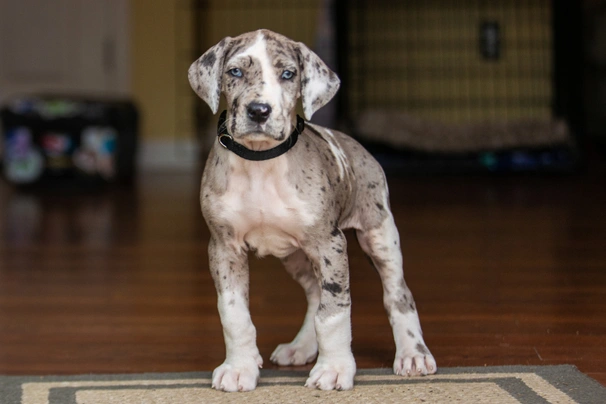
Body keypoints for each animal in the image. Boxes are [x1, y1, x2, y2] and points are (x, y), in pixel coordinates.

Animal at [190, 28, 436, 392]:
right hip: (296, 255)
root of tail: (355, 144)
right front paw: (239, 368)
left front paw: (333, 369)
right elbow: (234, 315)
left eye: (288, 74)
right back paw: (301, 347)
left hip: (380, 235)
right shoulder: (223, 247)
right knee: (313, 293)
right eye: (234, 72)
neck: (260, 161)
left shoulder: (329, 245)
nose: (259, 111)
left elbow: (332, 312)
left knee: (398, 294)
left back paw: (412, 354)